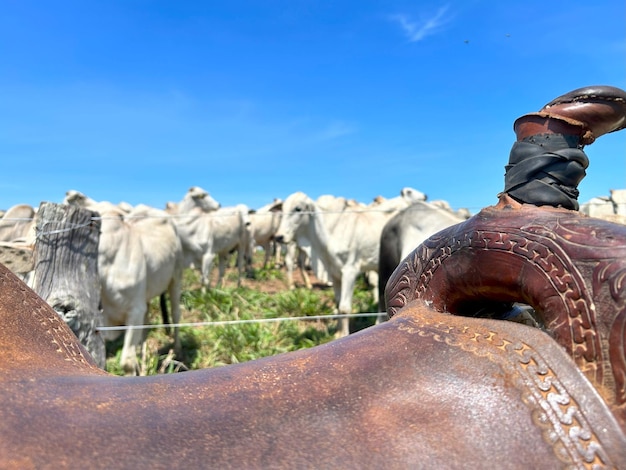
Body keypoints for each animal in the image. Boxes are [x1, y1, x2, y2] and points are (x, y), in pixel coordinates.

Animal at [64, 191, 184, 374]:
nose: (74, 194)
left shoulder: (135, 310)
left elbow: (127, 362)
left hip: (176, 277)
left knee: (176, 313)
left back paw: (177, 351)